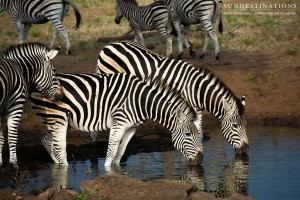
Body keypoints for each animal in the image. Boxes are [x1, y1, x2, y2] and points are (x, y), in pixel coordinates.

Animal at [30, 72, 203, 166]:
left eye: (198, 135)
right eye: (188, 135)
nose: (200, 160)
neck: (141, 101)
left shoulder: (131, 128)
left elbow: (120, 152)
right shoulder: (118, 123)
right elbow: (112, 151)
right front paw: (107, 173)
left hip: (58, 120)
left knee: (46, 141)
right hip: (57, 118)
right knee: (59, 148)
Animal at [97, 41, 250, 155]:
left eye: (245, 124)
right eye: (235, 126)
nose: (245, 149)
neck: (196, 89)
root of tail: (109, 45)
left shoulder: (197, 110)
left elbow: (198, 134)